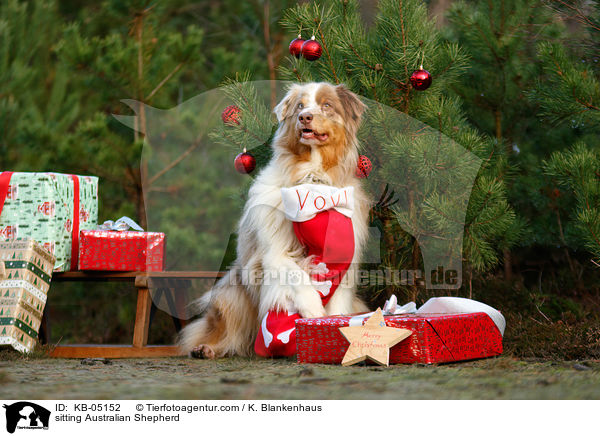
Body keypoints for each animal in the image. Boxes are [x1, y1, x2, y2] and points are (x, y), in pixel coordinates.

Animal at [179, 82, 370, 358]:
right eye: (300, 106)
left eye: (327, 105)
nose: (305, 117)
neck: (311, 176)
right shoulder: (271, 252)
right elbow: (296, 274)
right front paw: (313, 309)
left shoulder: (346, 266)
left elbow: (338, 306)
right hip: (233, 295)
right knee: (227, 333)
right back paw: (207, 349)